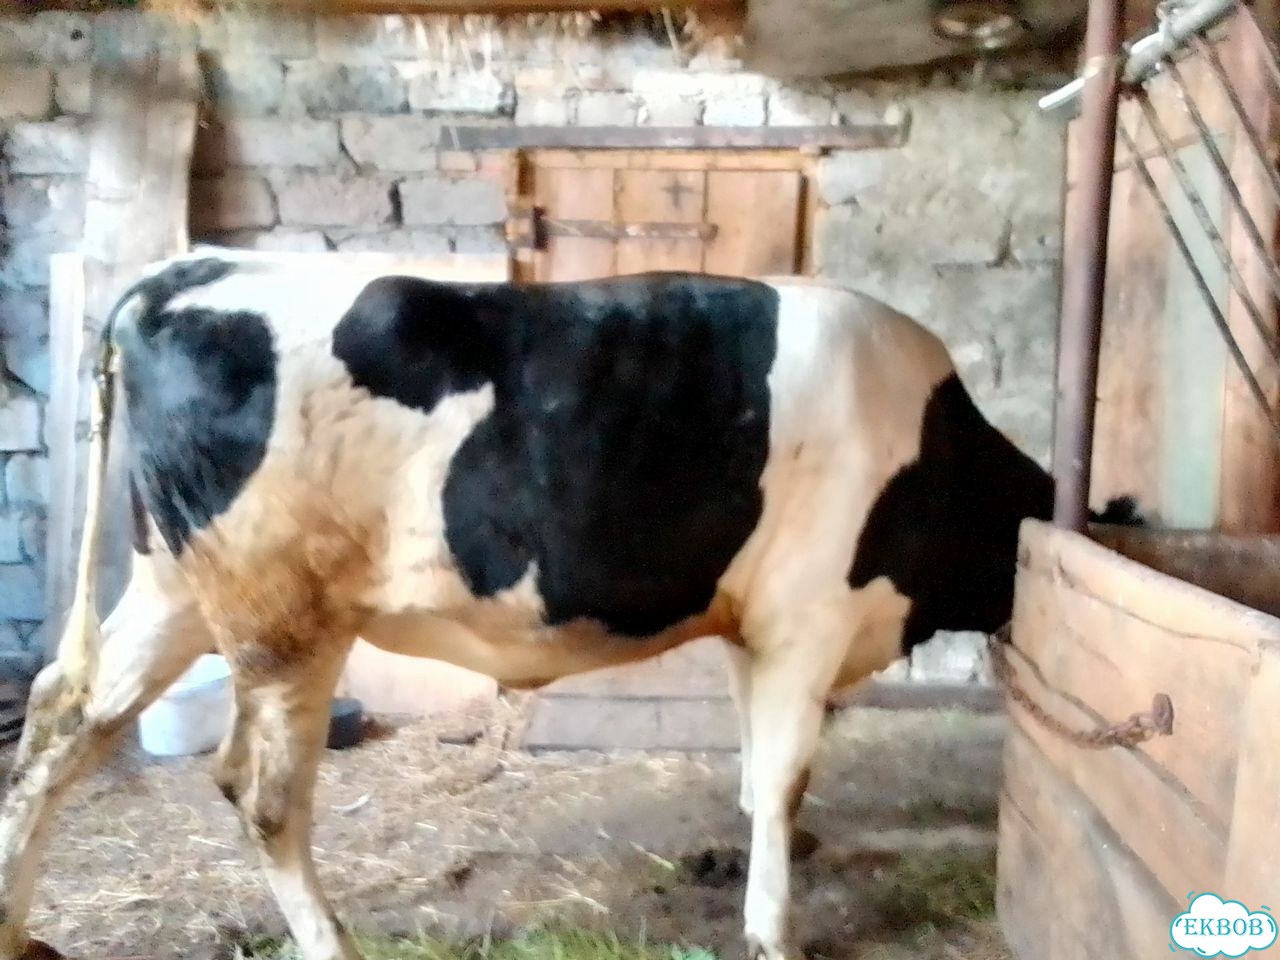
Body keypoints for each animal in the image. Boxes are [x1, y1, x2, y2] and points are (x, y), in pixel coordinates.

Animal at [0, 252, 1136, 960]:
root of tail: (182, 271)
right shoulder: (809, 615)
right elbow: (783, 775)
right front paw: (775, 925)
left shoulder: (757, 622)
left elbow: (761, 769)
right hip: (281, 614)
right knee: (262, 794)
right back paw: (332, 940)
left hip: (176, 586)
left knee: (62, 719)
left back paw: (20, 926)